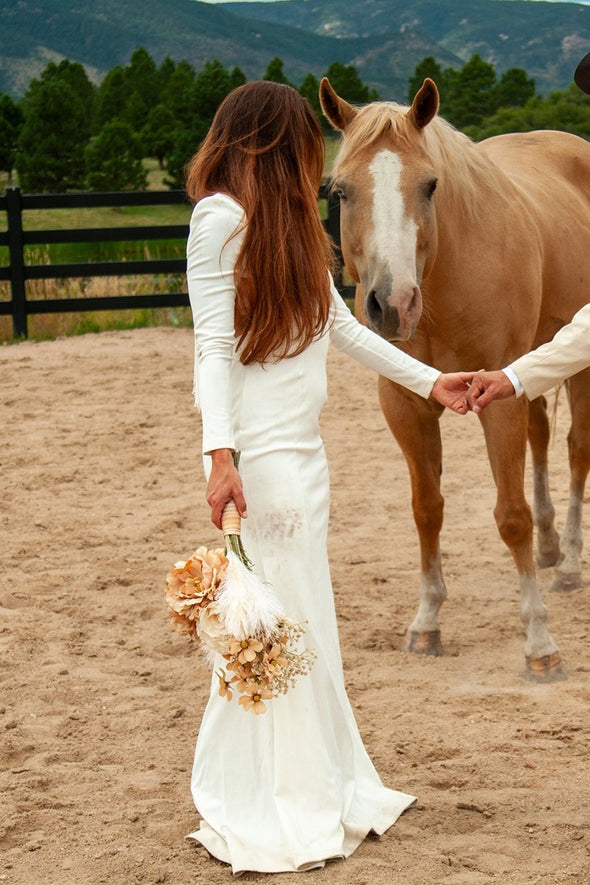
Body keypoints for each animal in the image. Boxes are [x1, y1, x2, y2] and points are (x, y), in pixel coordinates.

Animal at [322, 77, 590, 684]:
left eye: (430, 185)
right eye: (340, 191)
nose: (392, 304)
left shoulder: (497, 396)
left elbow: (510, 516)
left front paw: (540, 644)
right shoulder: (407, 403)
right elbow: (427, 508)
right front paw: (426, 624)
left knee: (575, 449)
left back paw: (567, 563)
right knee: (543, 439)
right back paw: (549, 551)